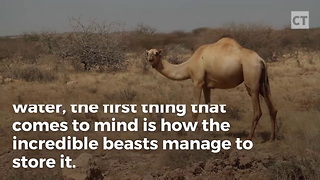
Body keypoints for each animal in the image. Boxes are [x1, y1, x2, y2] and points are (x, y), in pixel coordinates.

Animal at [146, 37, 278, 141]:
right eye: (148, 53)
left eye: (156, 53)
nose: (150, 59)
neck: (188, 66)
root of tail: (261, 60)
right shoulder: (206, 86)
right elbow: (208, 109)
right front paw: (209, 133)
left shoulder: (198, 82)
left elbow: (195, 109)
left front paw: (190, 135)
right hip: (263, 83)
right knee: (272, 107)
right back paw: (272, 138)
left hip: (251, 79)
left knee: (257, 110)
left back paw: (249, 138)